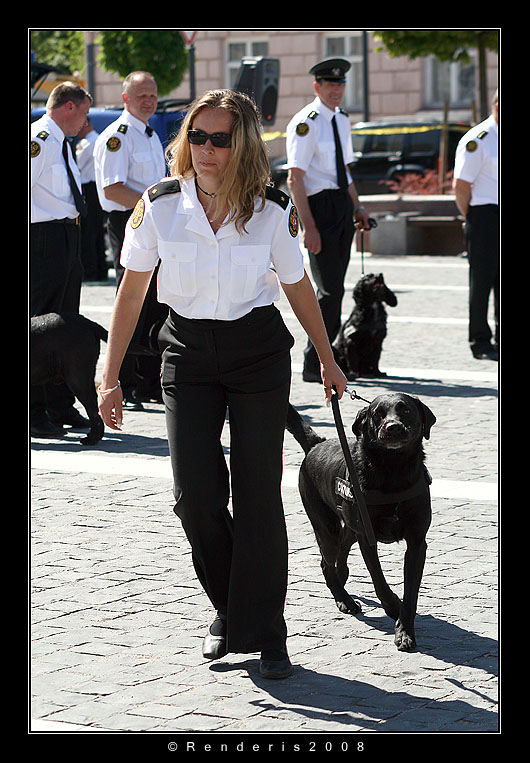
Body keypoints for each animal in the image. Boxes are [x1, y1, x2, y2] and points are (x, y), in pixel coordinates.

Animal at [286, 392, 436, 651]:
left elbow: (411, 592)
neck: (393, 470)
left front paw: (404, 630)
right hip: (327, 528)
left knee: (341, 554)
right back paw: (344, 599)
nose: (393, 427)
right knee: (326, 563)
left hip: (347, 526)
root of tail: (316, 444)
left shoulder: (417, 543)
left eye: (405, 410)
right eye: (377, 414)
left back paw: (342, 578)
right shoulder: (367, 536)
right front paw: (393, 607)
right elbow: (379, 581)